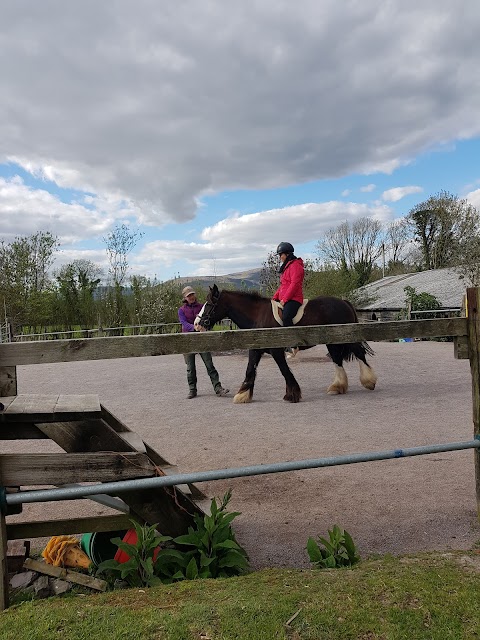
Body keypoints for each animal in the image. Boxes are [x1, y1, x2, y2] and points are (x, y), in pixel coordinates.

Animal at [197, 286, 376, 402]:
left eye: (209, 304)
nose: (197, 324)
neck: (257, 316)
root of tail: (344, 302)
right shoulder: (256, 349)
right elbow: (250, 369)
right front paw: (243, 395)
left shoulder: (276, 350)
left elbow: (284, 370)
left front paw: (292, 394)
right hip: (331, 341)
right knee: (337, 359)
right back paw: (337, 387)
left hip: (347, 338)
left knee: (359, 354)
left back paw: (369, 381)